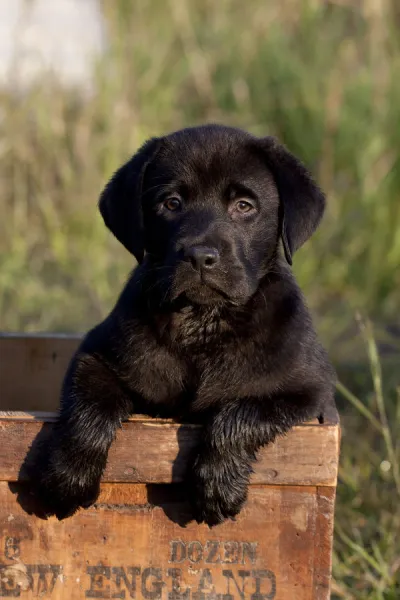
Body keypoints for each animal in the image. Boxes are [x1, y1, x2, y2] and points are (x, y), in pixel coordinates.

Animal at [32, 123, 336, 524]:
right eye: (171, 203)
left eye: (244, 206)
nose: (200, 256)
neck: (202, 322)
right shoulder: (95, 356)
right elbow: (90, 408)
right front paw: (69, 476)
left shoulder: (309, 392)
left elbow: (240, 413)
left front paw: (218, 485)